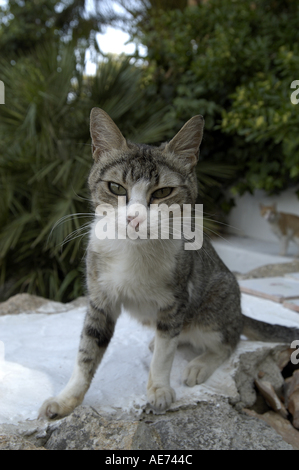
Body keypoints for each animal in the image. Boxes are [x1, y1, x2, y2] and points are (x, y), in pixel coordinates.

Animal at [38, 109, 298, 418]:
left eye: (163, 192)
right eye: (115, 187)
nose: (134, 218)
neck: (134, 253)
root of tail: (239, 312)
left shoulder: (176, 299)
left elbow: (165, 354)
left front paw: (159, 389)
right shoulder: (100, 298)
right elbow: (87, 350)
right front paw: (67, 398)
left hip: (213, 305)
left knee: (228, 340)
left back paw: (199, 363)